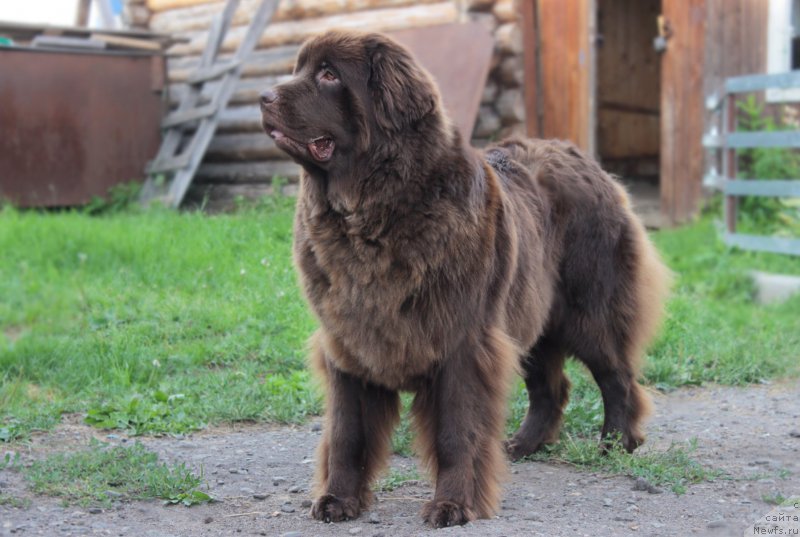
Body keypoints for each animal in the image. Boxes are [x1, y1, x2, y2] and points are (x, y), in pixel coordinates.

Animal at [260, 30, 672, 528]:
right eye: (298, 69)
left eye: (328, 74)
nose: (263, 97)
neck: (369, 216)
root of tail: (583, 157)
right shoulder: (347, 340)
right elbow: (346, 431)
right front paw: (337, 499)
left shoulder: (463, 342)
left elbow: (455, 433)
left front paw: (453, 505)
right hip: (526, 316)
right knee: (551, 386)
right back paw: (523, 444)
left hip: (588, 308)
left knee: (616, 375)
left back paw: (616, 443)